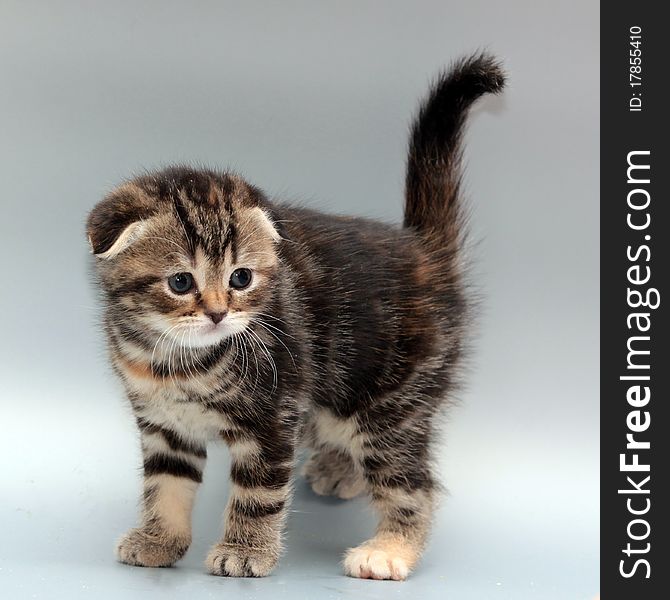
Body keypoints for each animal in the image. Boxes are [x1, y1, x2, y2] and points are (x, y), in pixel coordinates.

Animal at [89, 54, 506, 580]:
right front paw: (158, 540)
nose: (218, 313)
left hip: (393, 398)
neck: (175, 358)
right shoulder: (165, 425)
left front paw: (245, 551)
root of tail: (422, 251)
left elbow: (259, 491)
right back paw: (339, 468)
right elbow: (164, 484)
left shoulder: (273, 414)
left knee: (411, 480)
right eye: (180, 282)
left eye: (241, 278)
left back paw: (389, 548)